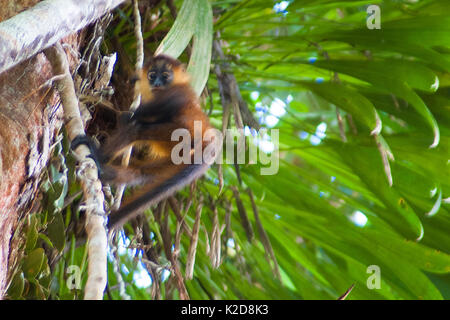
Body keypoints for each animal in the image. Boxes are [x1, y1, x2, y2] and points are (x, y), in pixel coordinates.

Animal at [72, 55, 216, 230]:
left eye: (165, 76)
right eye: (152, 75)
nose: (157, 84)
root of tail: (211, 140)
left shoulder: (180, 91)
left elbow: (140, 115)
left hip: (181, 137)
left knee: (136, 130)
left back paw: (97, 155)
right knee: (142, 173)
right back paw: (106, 172)